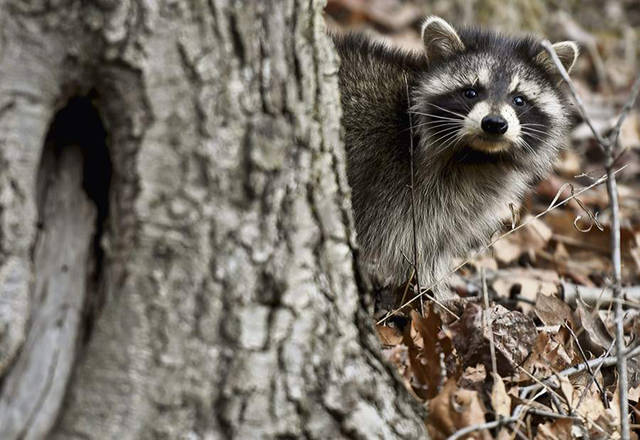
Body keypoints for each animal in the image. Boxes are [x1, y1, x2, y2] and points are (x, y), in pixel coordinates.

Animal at [333, 17, 578, 300]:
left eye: (519, 100)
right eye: (471, 92)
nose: (494, 124)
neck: (478, 156)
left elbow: (435, 245)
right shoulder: (396, 187)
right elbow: (406, 243)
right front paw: (430, 295)